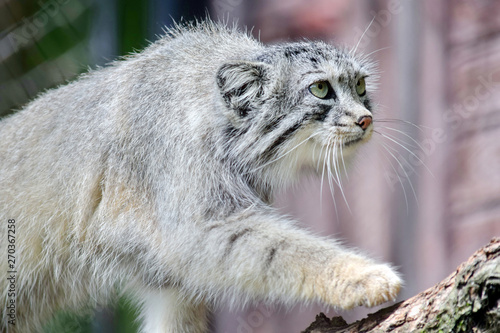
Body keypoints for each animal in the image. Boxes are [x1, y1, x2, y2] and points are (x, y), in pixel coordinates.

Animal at [0, 21, 400, 332]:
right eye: (320, 89)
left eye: (361, 86)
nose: (366, 119)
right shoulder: (196, 231)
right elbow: (287, 249)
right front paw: (361, 276)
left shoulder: (167, 280)